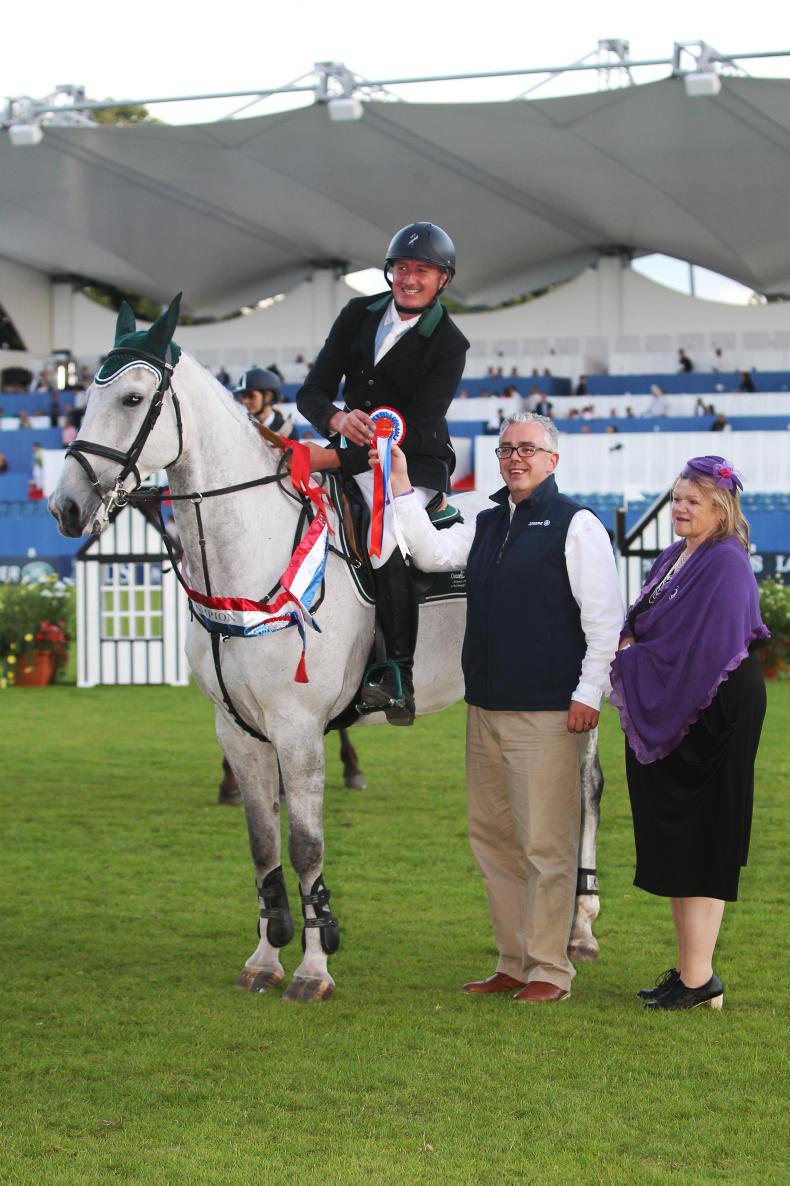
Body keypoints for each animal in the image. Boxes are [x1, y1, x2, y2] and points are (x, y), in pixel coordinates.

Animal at [49, 317, 600, 1000]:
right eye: (83, 398)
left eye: (131, 399)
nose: (67, 507)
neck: (251, 555)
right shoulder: (239, 732)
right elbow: (263, 846)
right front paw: (265, 958)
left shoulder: (298, 728)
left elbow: (306, 847)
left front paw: (314, 968)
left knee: (585, 788)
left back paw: (580, 927)